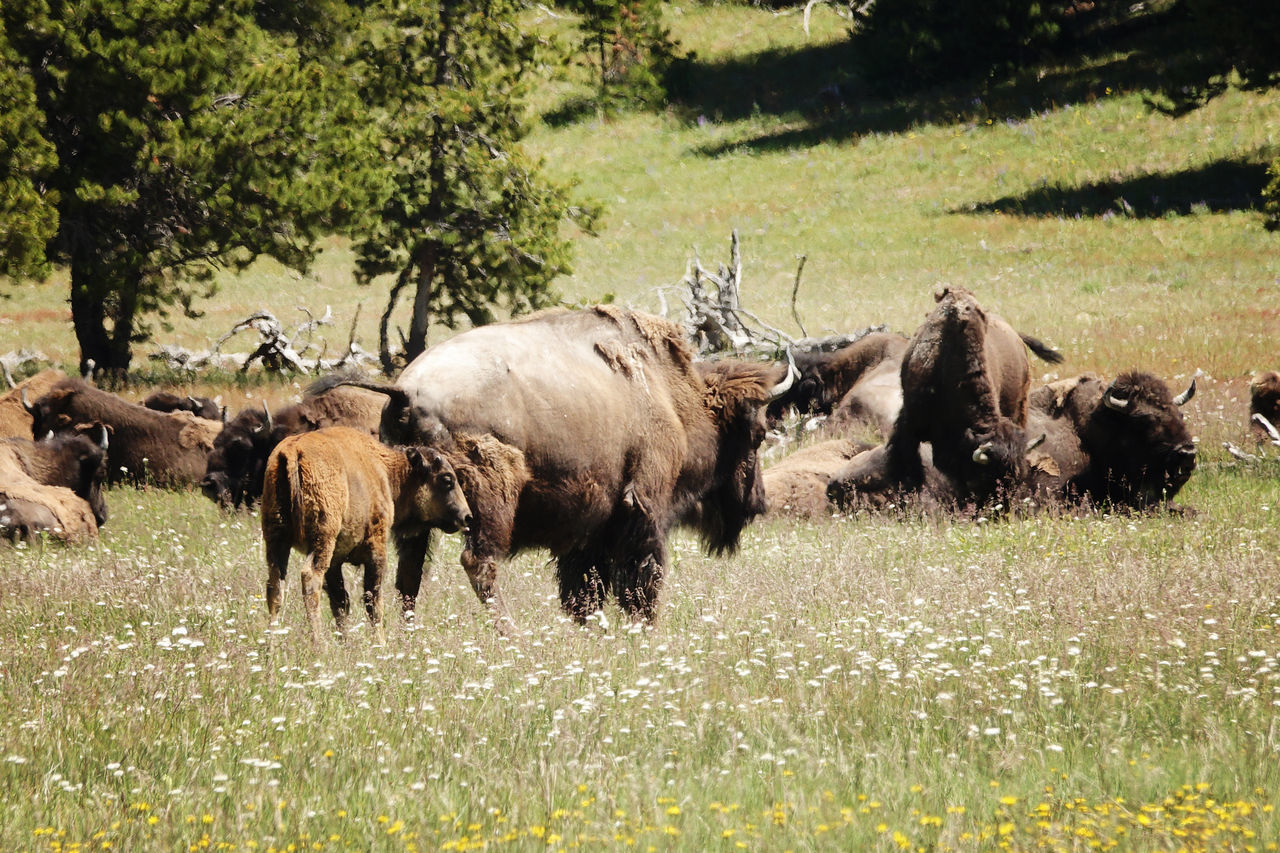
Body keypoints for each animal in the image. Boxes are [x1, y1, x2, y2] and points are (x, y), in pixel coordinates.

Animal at [348, 306, 788, 630]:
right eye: (757, 435)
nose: (758, 503)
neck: (672, 400)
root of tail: (405, 390)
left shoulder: (590, 527)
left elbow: (584, 587)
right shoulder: (643, 508)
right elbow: (642, 577)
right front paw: (643, 627)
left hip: (416, 510)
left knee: (408, 572)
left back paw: (407, 636)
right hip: (486, 502)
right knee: (478, 563)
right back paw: (511, 635)